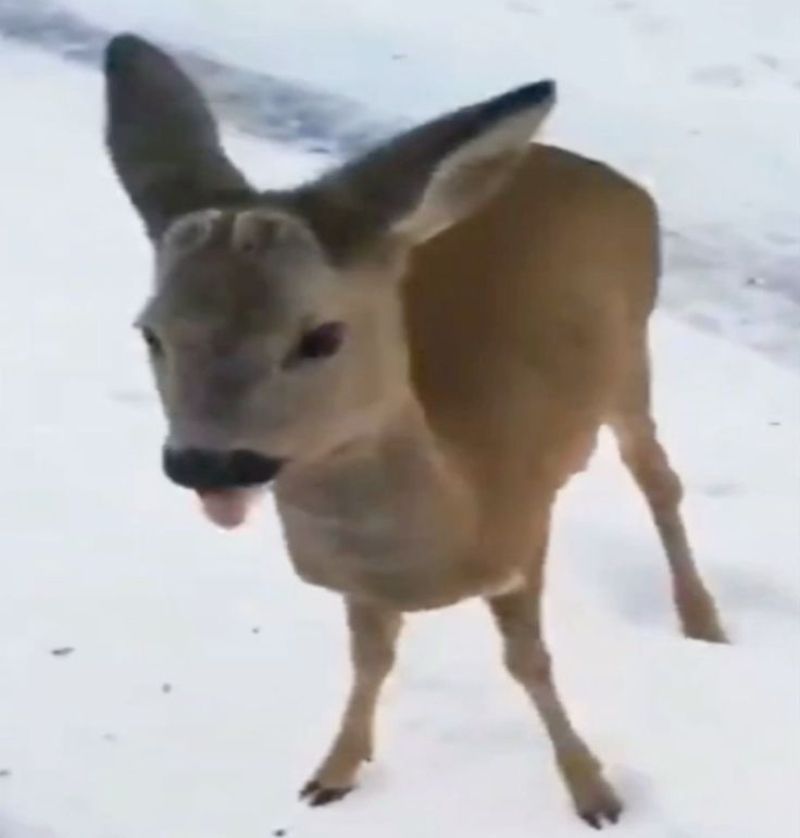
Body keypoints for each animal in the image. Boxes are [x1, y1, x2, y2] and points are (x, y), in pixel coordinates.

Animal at [103, 33, 728, 829]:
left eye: (321, 335)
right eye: (150, 331)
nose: (208, 462)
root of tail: (608, 178)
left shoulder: (524, 531)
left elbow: (528, 661)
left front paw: (595, 793)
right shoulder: (353, 583)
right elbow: (370, 659)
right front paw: (334, 771)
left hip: (631, 359)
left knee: (658, 478)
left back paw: (704, 621)